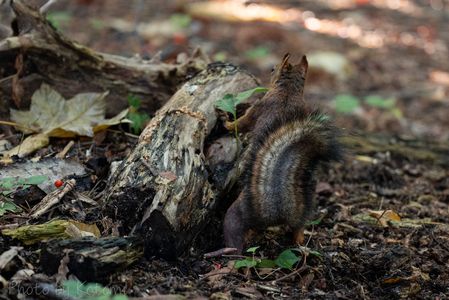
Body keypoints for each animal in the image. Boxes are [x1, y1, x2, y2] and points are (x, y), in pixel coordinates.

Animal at [222, 54, 342, 253]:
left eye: (272, 69)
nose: (267, 74)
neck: (289, 91)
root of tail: (275, 211)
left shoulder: (260, 106)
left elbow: (242, 123)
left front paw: (225, 121)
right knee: (298, 228)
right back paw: (300, 241)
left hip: (234, 215)